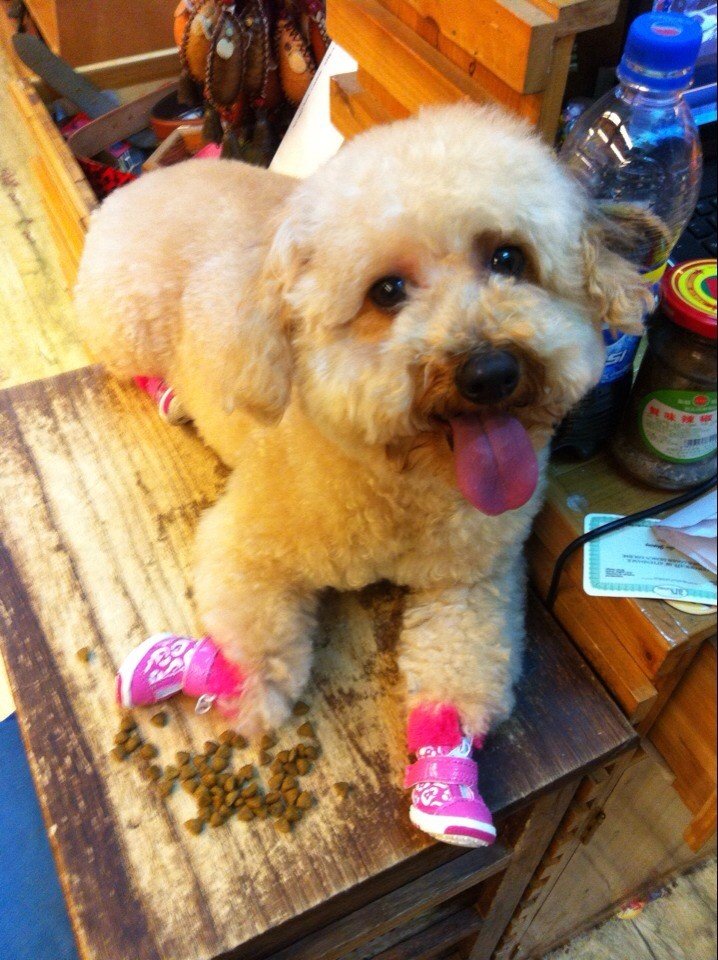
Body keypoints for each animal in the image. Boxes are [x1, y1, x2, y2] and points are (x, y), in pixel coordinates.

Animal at [75, 103, 646, 845]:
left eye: (508, 258)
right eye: (387, 291)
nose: (490, 370)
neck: (398, 480)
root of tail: (153, 179)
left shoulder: (473, 579)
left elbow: (459, 675)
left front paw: (447, 780)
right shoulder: (246, 543)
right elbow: (254, 644)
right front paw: (225, 686)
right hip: (123, 324)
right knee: (133, 365)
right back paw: (169, 394)